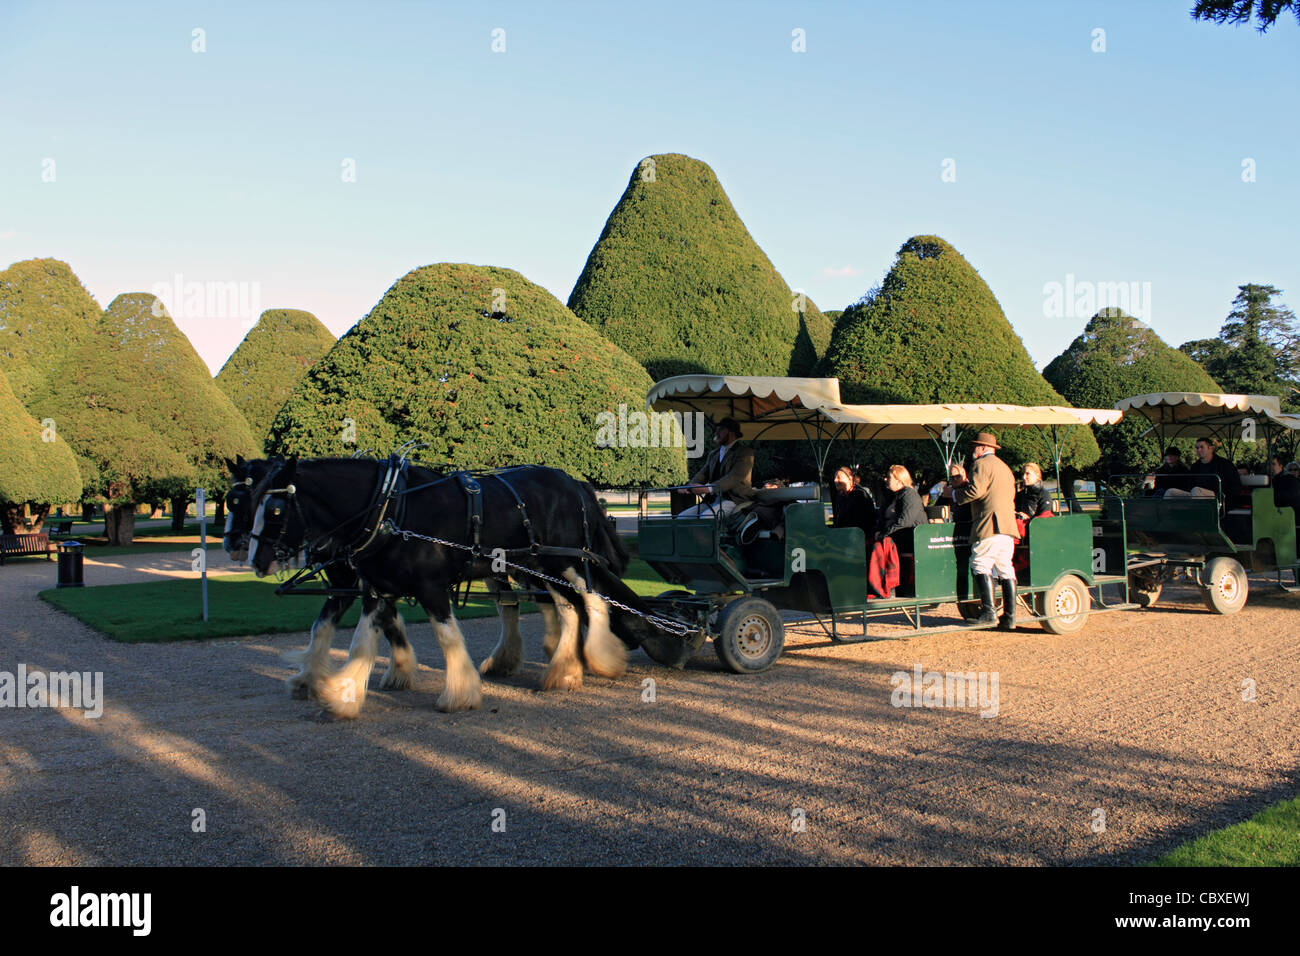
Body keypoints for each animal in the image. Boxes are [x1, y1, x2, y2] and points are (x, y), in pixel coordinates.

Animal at [245, 457, 670, 717]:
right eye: (246, 502)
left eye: (276, 509)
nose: (255, 560)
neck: (389, 507)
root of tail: (575, 483)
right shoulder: (377, 589)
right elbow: (361, 641)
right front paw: (342, 693)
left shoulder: (430, 586)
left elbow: (448, 637)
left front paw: (459, 694)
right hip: (541, 565)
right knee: (572, 607)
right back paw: (568, 667)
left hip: (562, 560)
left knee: (587, 603)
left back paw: (588, 662)